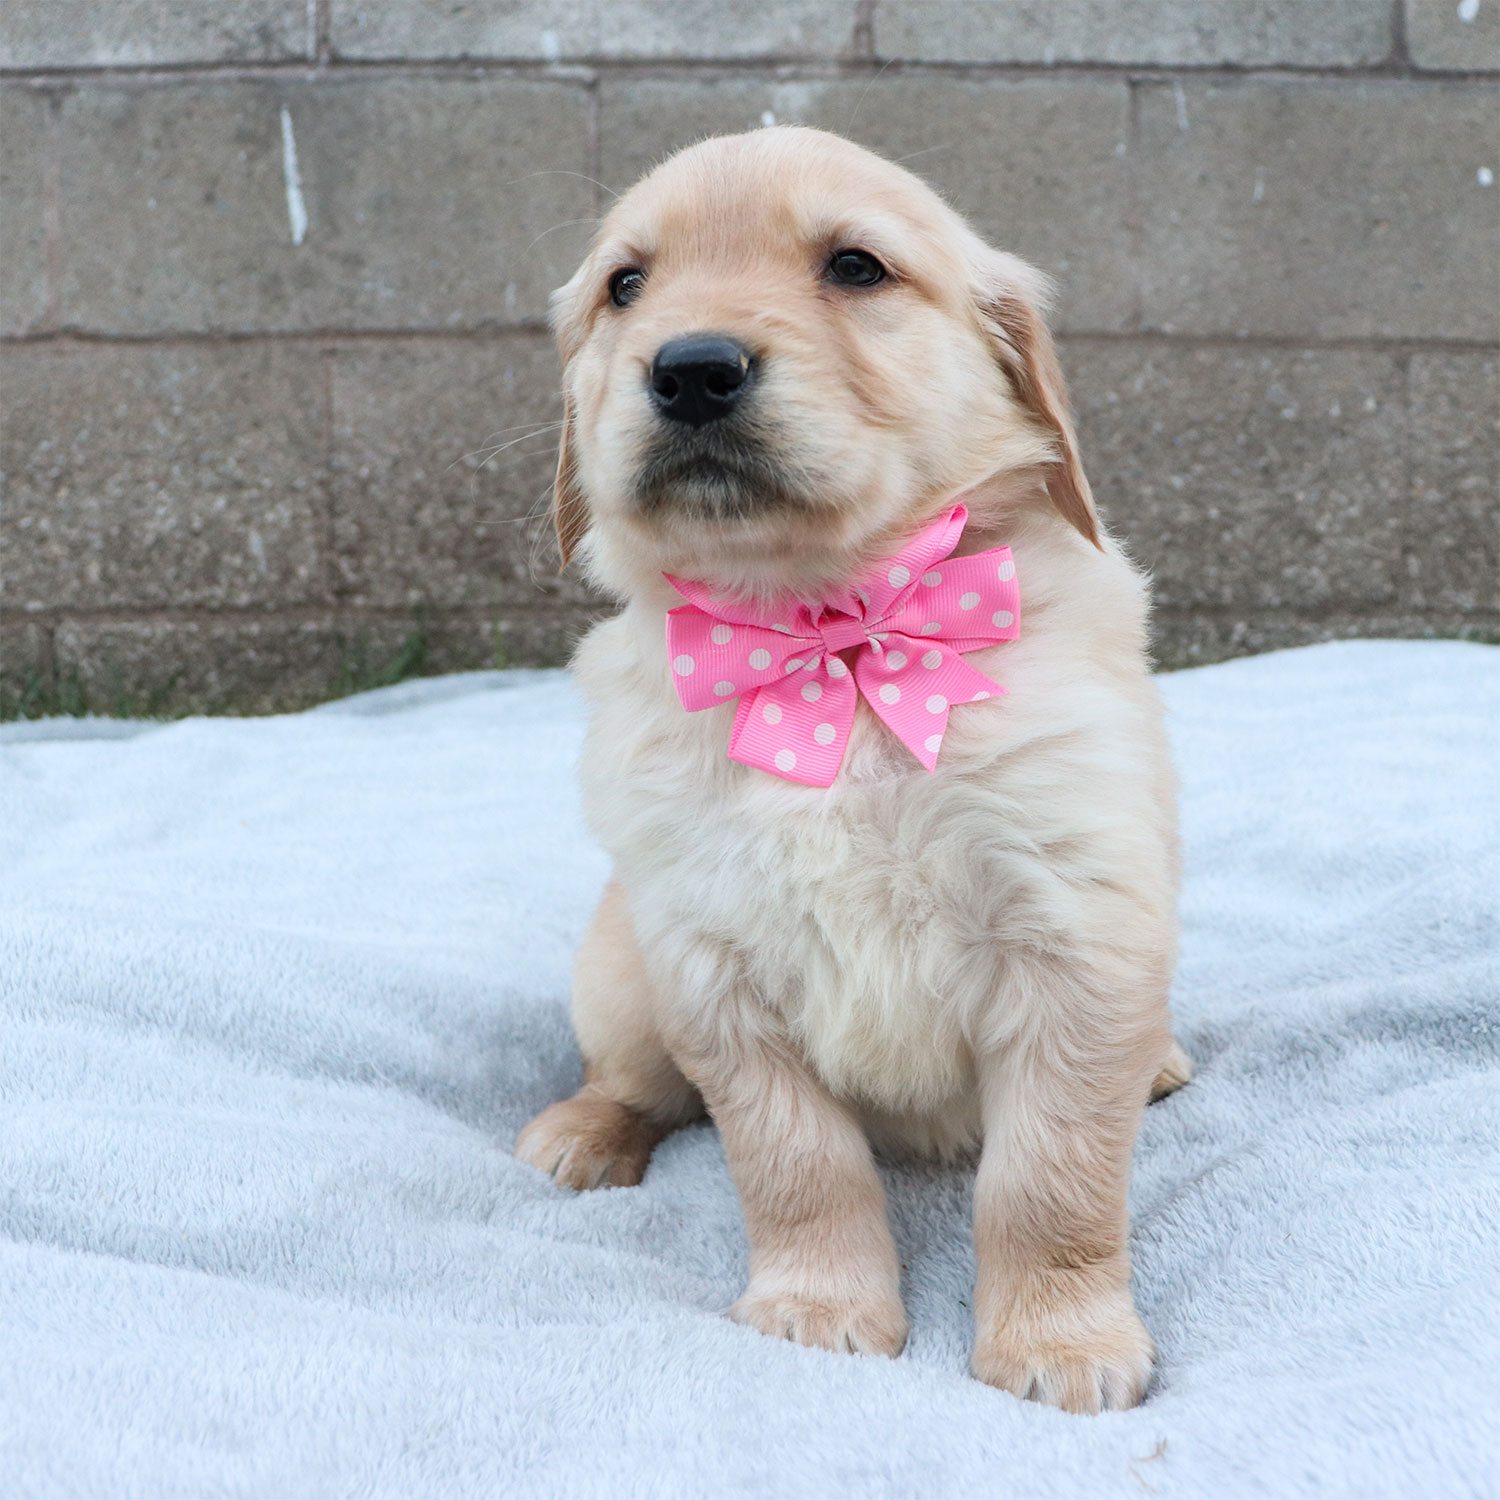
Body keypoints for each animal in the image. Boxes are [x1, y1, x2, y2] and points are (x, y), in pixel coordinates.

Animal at [516, 123, 1194, 1410]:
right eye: (627, 287)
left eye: (855, 268)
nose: (690, 367)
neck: (827, 637)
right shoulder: (714, 966)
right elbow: (794, 1163)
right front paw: (818, 1310)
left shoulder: (1075, 939)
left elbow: (1052, 1178)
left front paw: (1058, 1343)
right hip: (622, 976)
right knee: (635, 1084)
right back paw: (581, 1132)